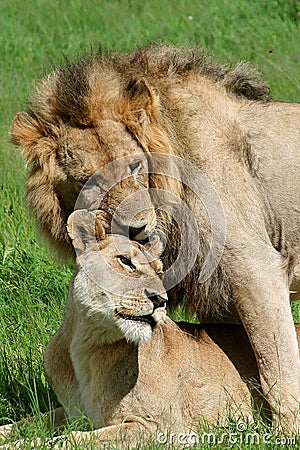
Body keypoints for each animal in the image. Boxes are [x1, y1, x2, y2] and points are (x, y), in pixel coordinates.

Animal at [10, 44, 300, 430]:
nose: (135, 228)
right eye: (88, 180)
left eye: (134, 165)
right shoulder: (223, 297)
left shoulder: (254, 266)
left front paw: (285, 433)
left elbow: (277, 367)